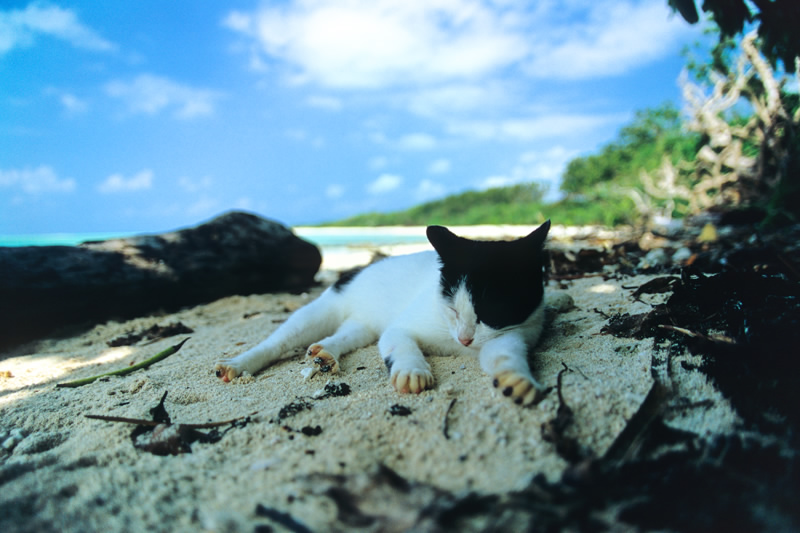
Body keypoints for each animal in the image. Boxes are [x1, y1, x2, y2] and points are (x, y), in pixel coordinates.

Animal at [212, 220, 552, 408]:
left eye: (491, 311)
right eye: (452, 308)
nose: (465, 340)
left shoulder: (513, 333)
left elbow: (504, 354)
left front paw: (516, 380)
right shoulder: (401, 327)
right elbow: (402, 343)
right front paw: (412, 372)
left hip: (362, 325)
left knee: (347, 335)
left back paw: (327, 353)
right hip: (321, 310)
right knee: (278, 341)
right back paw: (237, 365)